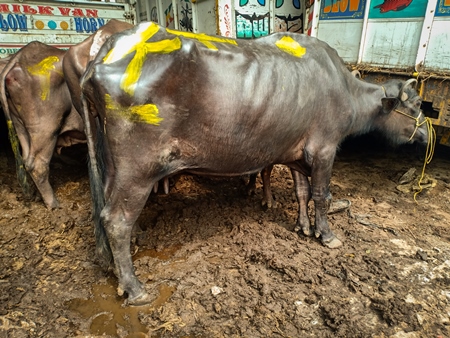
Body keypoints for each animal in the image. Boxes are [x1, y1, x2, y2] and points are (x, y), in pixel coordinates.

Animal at [80, 22, 428, 304]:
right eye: (416, 104)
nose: (426, 131)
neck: (343, 88)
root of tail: (99, 60)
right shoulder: (324, 150)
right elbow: (322, 196)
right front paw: (326, 235)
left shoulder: (297, 155)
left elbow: (302, 192)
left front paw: (303, 226)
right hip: (138, 169)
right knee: (116, 218)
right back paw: (134, 287)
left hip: (112, 165)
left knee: (108, 209)